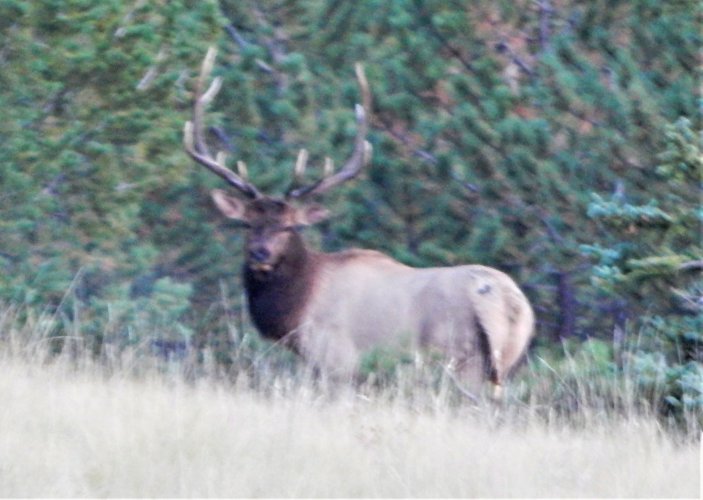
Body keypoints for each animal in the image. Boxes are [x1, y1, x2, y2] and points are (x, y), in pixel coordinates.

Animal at [184, 48, 536, 396]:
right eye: (247, 224)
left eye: (290, 226)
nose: (260, 254)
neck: (296, 308)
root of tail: (508, 304)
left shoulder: (335, 359)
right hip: (504, 363)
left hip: (457, 355)